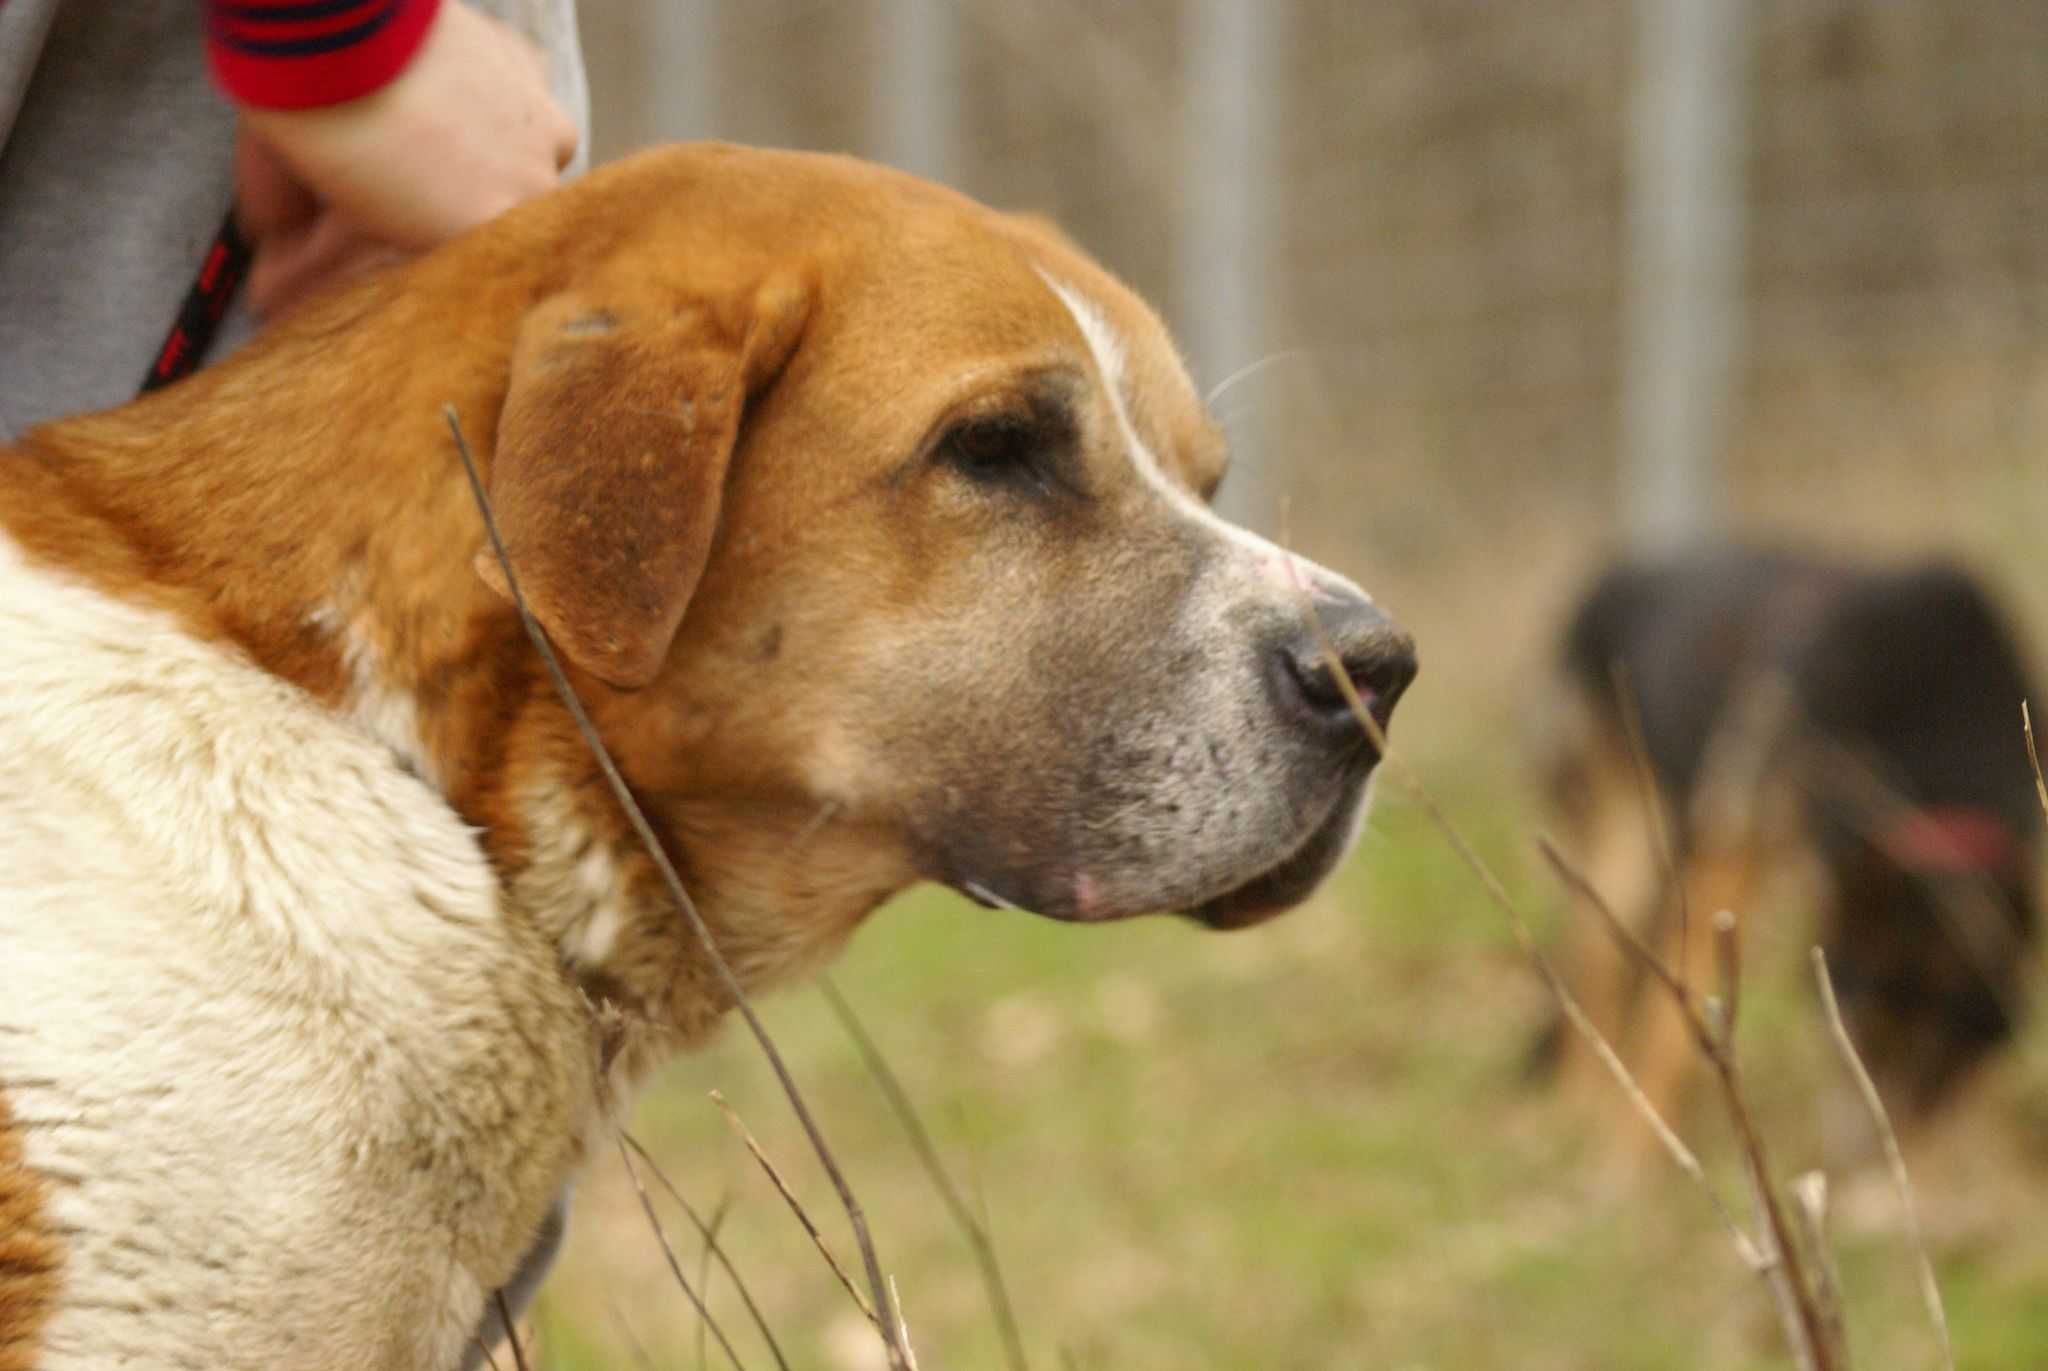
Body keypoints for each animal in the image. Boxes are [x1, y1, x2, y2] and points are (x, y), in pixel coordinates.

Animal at [1540, 541, 2039, 1131]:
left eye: (1944, 1065)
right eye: (1863, 1028)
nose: (1865, 1145)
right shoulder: (1732, 859)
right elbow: (1671, 1035)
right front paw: (1626, 1148)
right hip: (1626, 845)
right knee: (1597, 971)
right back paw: (1579, 1107)